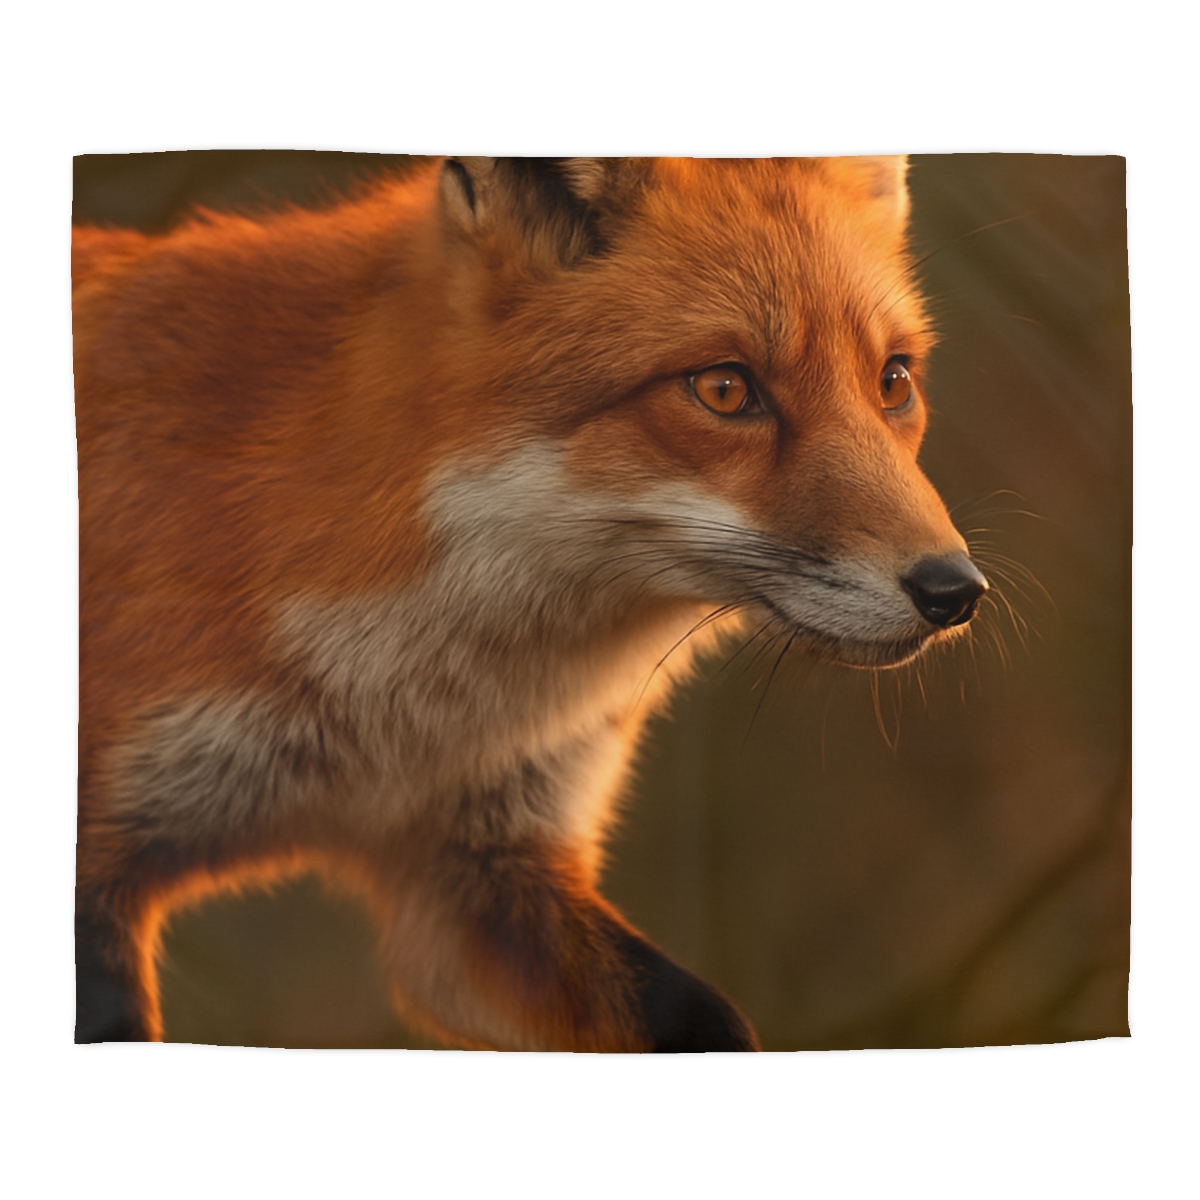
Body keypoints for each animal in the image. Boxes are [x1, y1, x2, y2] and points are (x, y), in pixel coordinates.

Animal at [74, 156, 988, 1052]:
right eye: (726, 389)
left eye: (893, 383)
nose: (955, 591)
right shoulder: (96, 864)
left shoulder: (475, 877)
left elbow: (703, 1022)